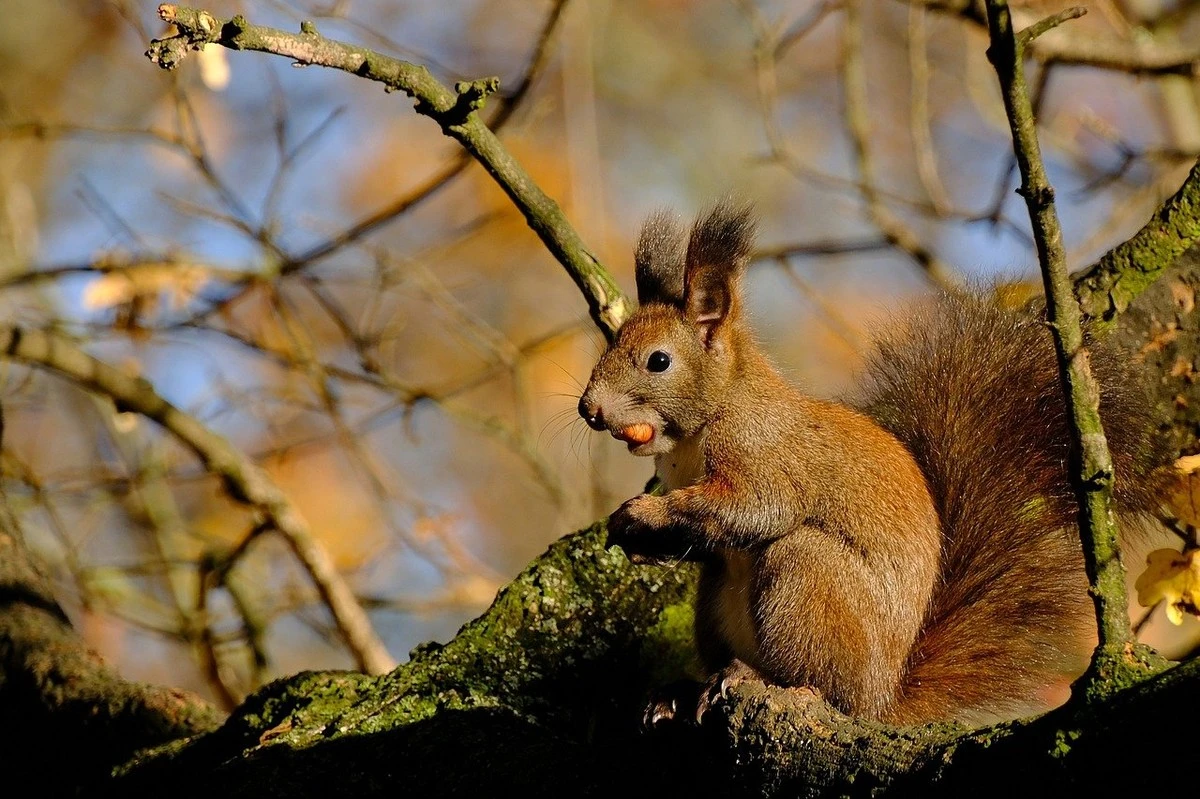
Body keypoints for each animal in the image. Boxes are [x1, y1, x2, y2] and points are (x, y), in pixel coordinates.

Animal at [577, 201, 1166, 726]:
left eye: (658, 361)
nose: (589, 409)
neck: (701, 425)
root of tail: (882, 697)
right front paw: (638, 537)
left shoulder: (763, 449)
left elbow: (756, 507)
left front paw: (645, 514)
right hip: (717, 605)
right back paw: (681, 692)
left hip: (808, 578)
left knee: (822, 682)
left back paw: (755, 677)